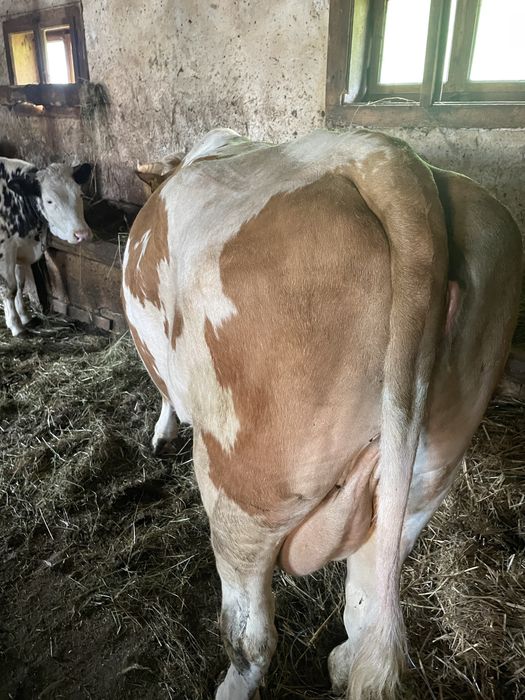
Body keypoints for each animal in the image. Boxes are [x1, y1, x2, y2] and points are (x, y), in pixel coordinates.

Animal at [0, 157, 92, 336]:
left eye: (80, 194)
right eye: (49, 201)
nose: (82, 234)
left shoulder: (19, 248)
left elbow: (20, 284)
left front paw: (25, 316)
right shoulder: (5, 251)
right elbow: (10, 289)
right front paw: (15, 325)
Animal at [122, 127, 522, 699]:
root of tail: (386, 157)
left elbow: (162, 391)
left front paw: (162, 430)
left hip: (243, 491)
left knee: (249, 632)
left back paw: (232, 685)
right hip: (425, 480)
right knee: (367, 605)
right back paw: (343, 662)